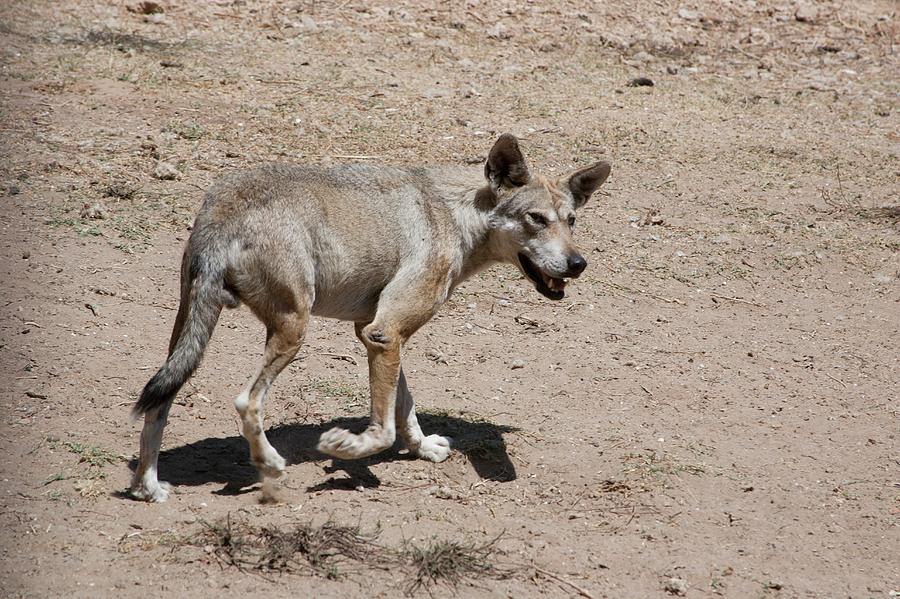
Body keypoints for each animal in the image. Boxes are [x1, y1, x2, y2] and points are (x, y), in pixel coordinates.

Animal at [130, 132, 608, 502]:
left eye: (571, 221)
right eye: (536, 219)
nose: (578, 264)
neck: (457, 214)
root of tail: (222, 210)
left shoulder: (377, 333)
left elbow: (405, 408)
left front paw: (425, 449)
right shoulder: (385, 333)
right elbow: (383, 432)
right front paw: (342, 448)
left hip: (188, 338)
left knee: (157, 406)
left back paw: (147, 487)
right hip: (292, 332)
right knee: (247, 401)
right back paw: (269, 463)